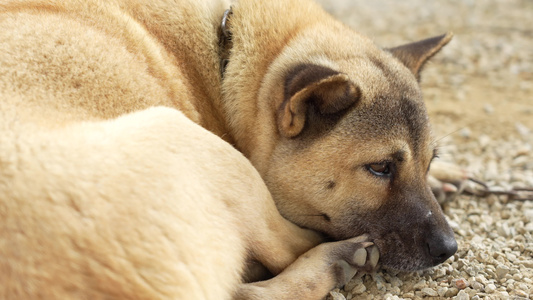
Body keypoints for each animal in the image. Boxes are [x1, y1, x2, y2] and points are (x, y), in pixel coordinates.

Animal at [0, 0, 458, 298]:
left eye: (426, 160)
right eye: (380, 168)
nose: (449, 249)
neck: (225, 48)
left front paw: (446, 174)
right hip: (191, 141)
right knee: (283, 252)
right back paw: (335, 260)